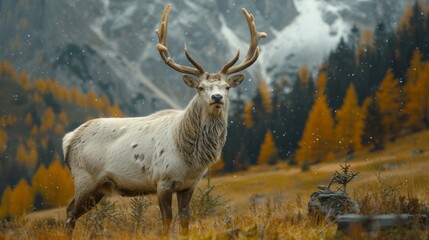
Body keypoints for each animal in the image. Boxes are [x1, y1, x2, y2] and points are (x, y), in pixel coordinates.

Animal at [62, 3, 264, 236]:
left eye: (227, 87)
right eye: (200, 87)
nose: (216, 97)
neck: (189, 157)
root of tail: (69, 139)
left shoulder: (188, 185)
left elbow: (185, 219)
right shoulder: (162, 180)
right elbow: (166, 219)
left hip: (100, 187)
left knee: (72, 212)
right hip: (85, 178)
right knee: (69, 213)